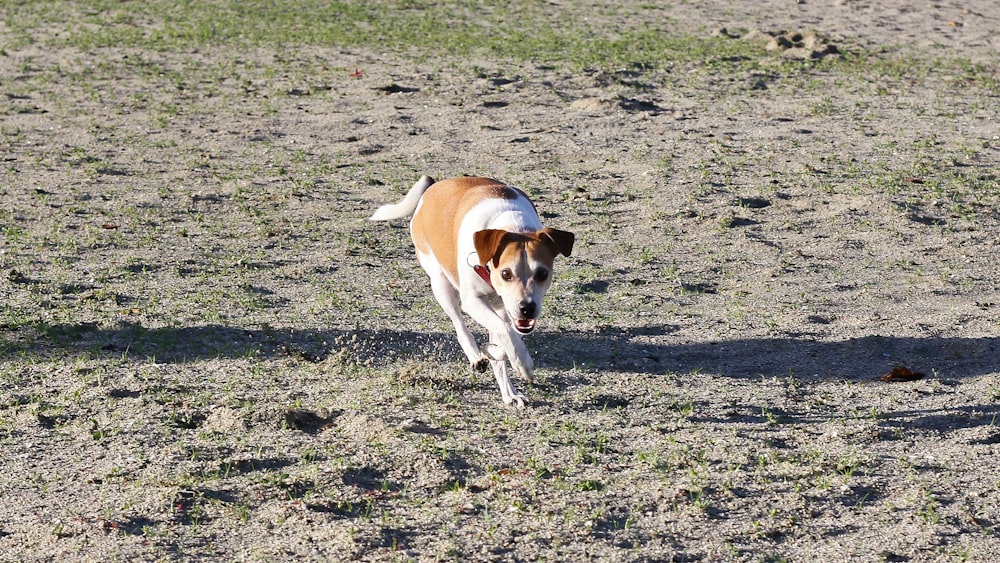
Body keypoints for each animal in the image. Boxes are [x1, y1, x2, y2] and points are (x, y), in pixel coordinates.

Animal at [370, 176, 576, 406]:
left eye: (542, 274)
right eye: (506, 274)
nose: (527, 308)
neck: (512, 225)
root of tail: (433, 185)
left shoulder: (506, 309)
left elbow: (505, 339)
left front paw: (498, 353)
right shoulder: (474, 301)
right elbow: (505, 330)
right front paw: (522, 363)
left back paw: (508, 392)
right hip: (442, 284)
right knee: (460, 326)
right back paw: (476, 356)